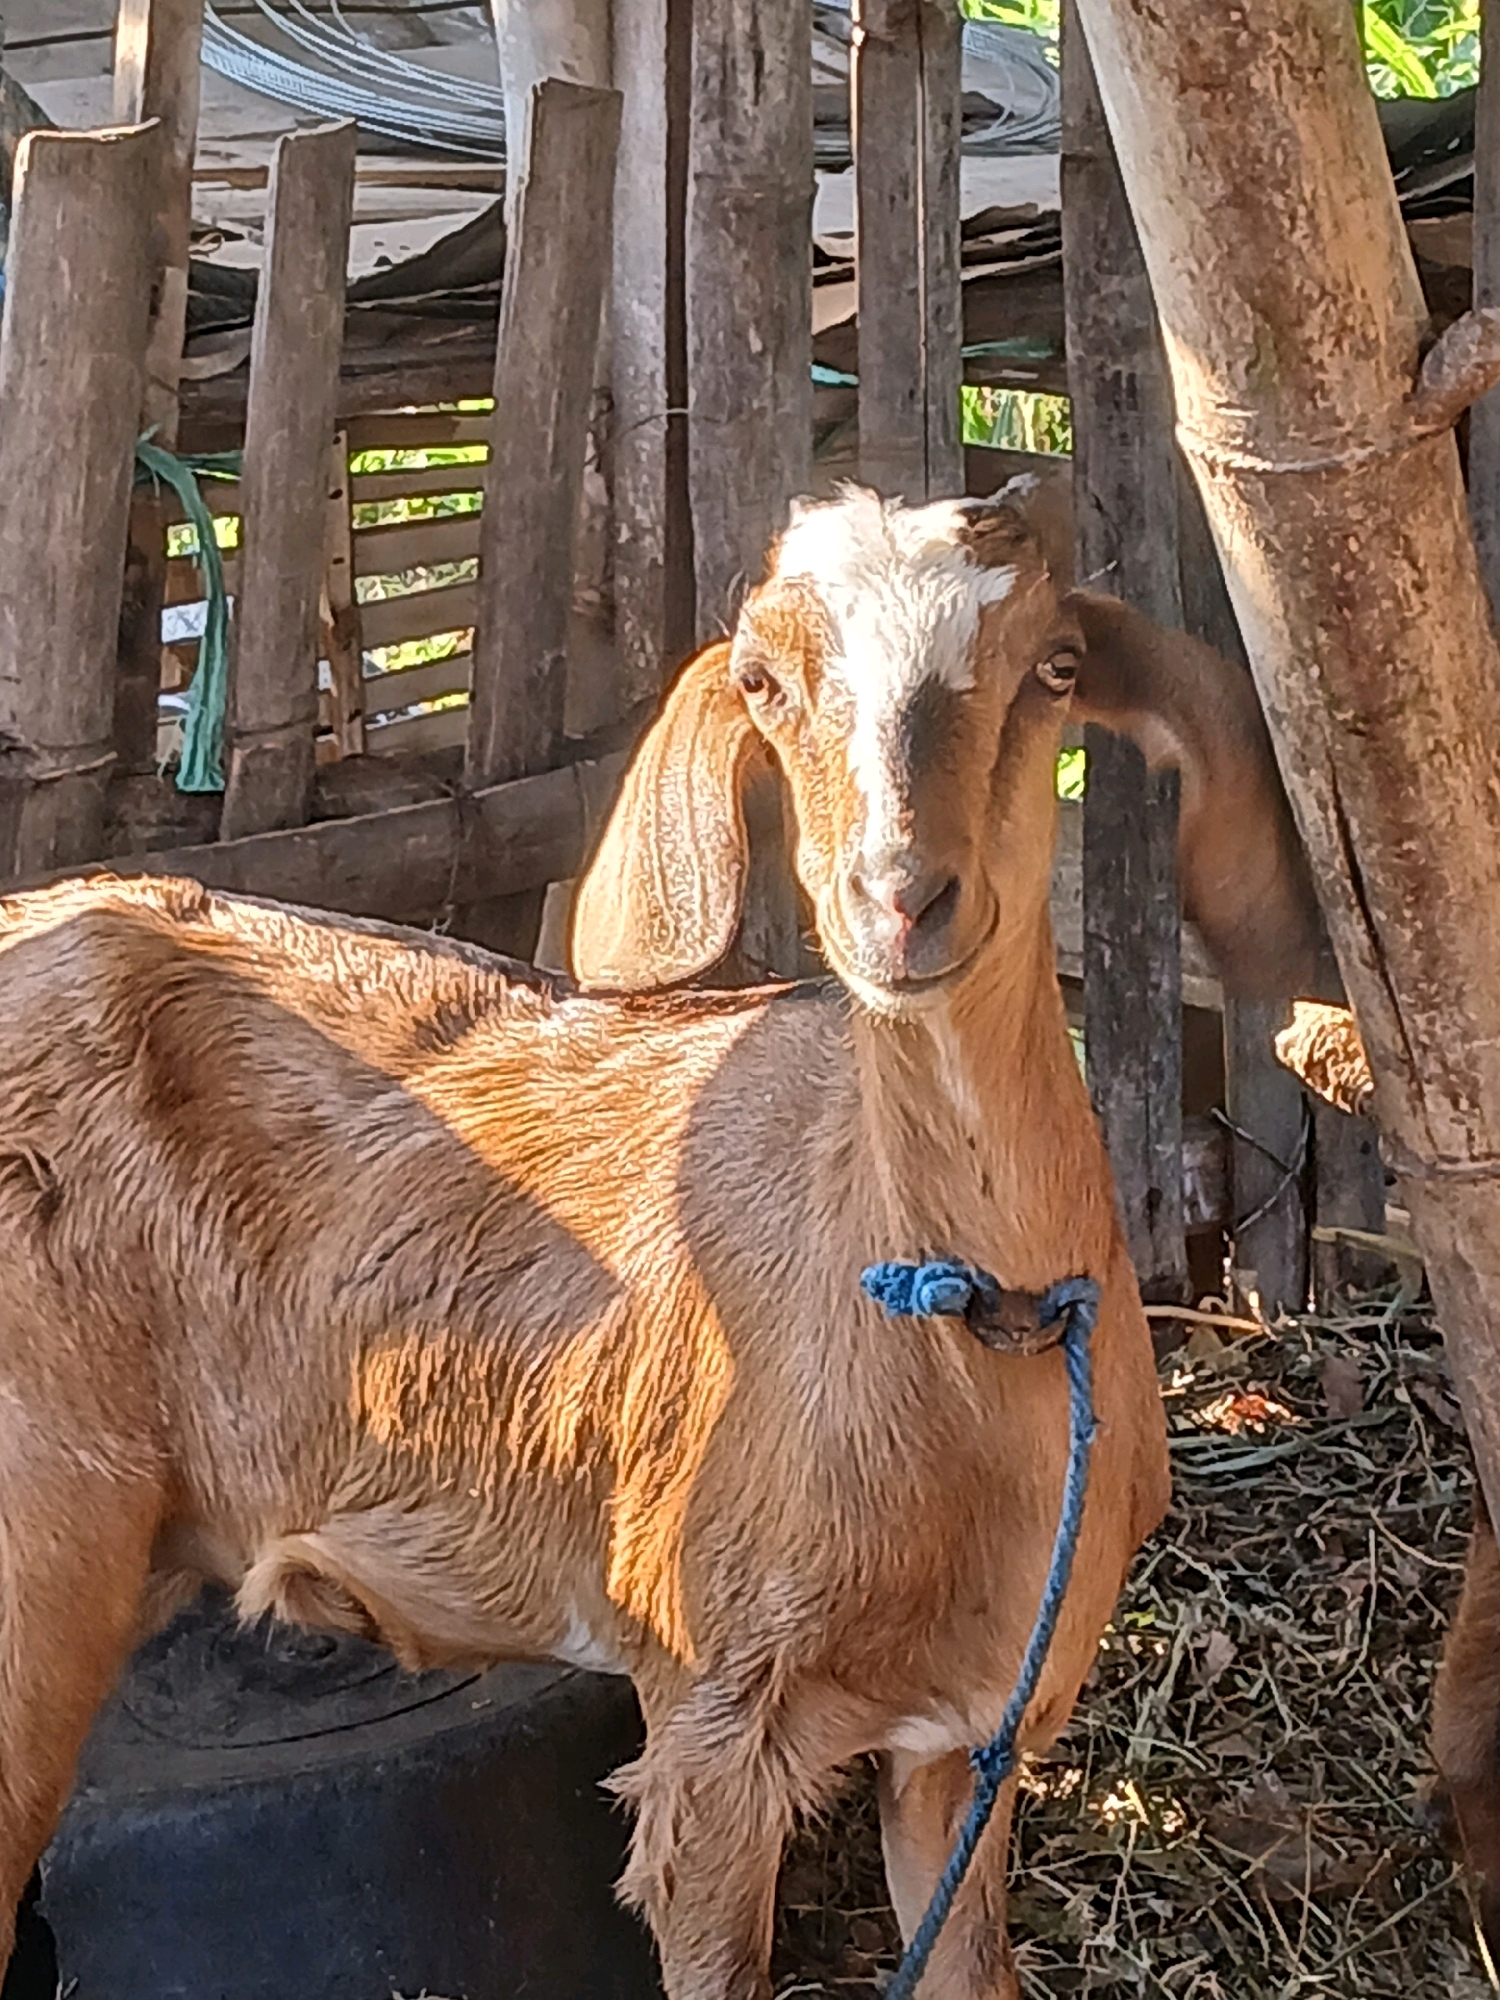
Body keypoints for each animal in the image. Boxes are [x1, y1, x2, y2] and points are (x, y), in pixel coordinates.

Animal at [0, 487, 1369, 2000]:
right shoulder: (711, 1734)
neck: (957, 1354)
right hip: (43, 1540)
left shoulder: (969, 1739)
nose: (901, 898)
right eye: (763, 680)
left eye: (1057, 665)